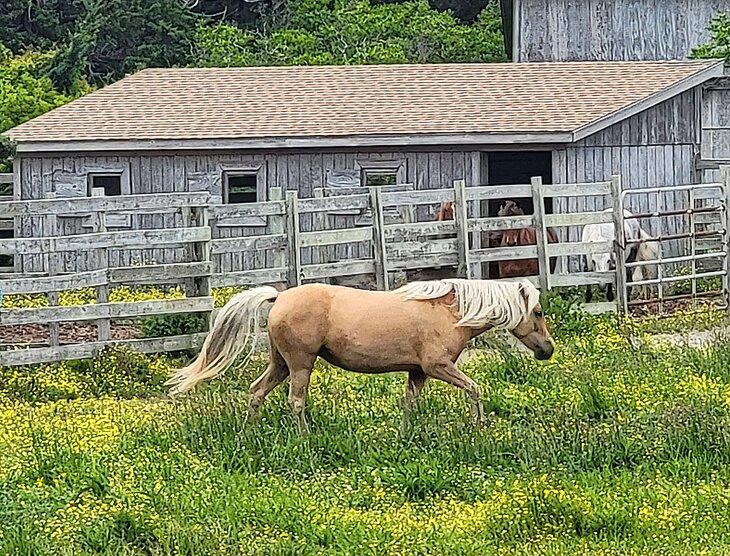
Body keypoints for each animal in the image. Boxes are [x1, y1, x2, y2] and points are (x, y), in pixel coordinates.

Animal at [167, 279, 554, 434]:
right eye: (536, 311)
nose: (547, 350)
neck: (448, 311)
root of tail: (280, 297)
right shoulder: (438, 367)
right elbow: (474, 389)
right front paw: (477, 425)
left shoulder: (418, 372)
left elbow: (409, 404)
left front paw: (405, 435)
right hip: (300, 363)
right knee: (295, 401)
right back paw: (305, 437)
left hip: (280, 364)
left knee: (256, 392)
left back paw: (249, 433)